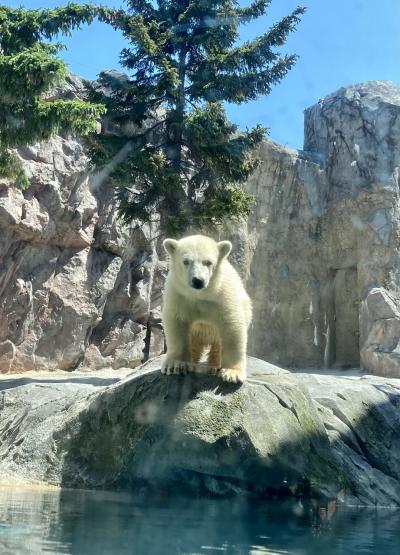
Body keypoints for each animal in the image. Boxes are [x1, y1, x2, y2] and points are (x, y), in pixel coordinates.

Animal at [160, 233, 252, 382]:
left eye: (208, 262)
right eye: (186, 261)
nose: (198, 280)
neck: (200, 294)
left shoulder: (223, 296)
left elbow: (232, 327)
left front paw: (232, 373)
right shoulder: (178, 294)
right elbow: (177, 325)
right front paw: (174, 366)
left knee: (218, 343)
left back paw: (214, 367)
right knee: (193, 342)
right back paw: (192, 364)